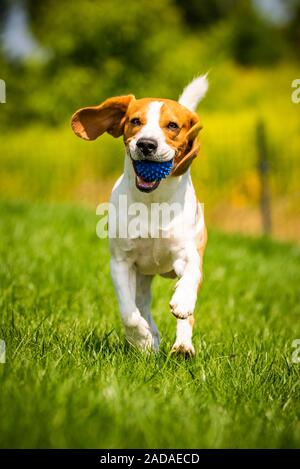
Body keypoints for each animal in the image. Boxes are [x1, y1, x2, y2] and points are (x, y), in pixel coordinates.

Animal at [71, 75, 207, 354]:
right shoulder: (120, 263)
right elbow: (128, 312)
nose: (146, 144)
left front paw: (183, 300)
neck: (152, 203)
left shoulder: (186, 253)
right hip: (142, 278)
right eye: (135, 121)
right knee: (142, 305)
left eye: (173, 126)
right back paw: (151, 336)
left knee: (187, 314)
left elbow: (191, 274)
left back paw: (183, 346)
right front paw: (142, 338)